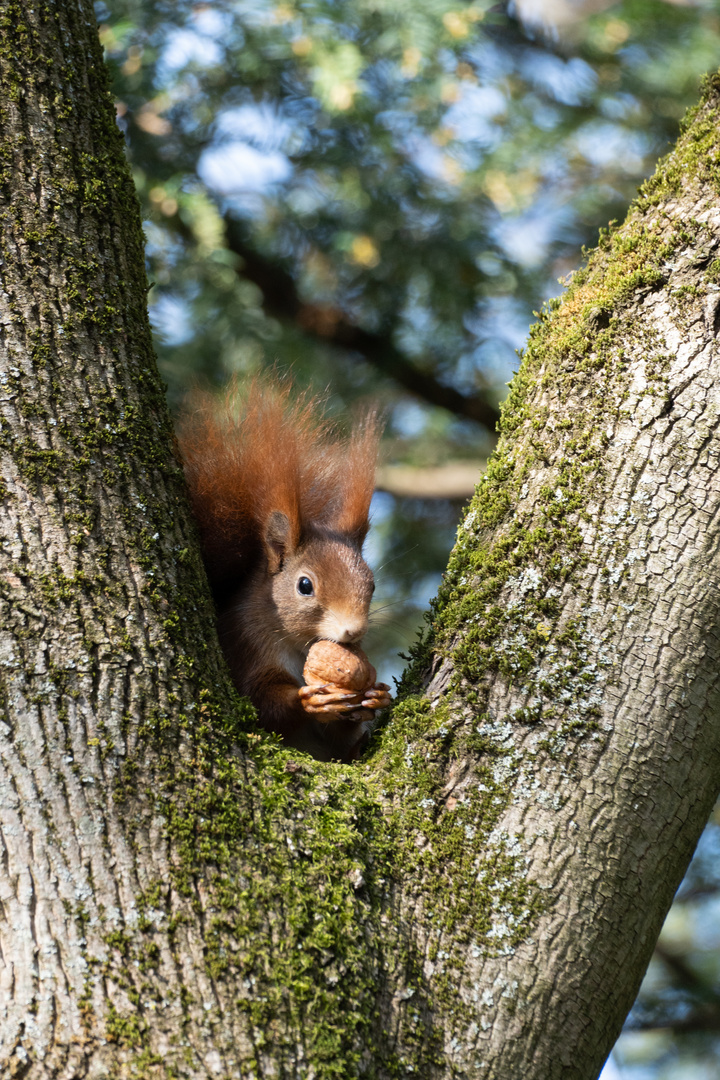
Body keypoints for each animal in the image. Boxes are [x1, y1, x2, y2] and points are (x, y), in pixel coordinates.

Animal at [179, 378, 390, 760]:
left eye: (371, 585)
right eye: (305, 585)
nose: (353, 631)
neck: (301, 646)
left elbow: (338, 738)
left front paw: (377, 696)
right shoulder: (247, 645)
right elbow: (260, 704)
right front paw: (308, 701)